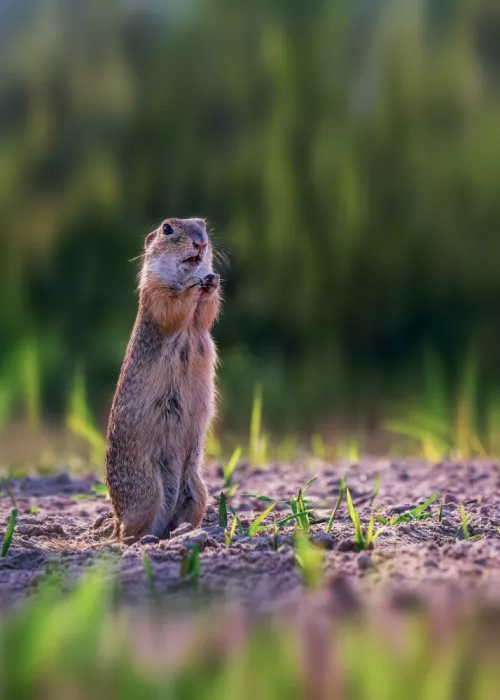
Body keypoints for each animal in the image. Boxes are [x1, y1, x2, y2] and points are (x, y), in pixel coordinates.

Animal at [105, 218, 221, 542]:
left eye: (203, 224)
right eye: (167, 228)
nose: (201, 241)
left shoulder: (200, 316)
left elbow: (206, 314)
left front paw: (212, 280)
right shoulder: (154, 291)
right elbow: (172, 307)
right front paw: (194, 287)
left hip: (197, 490)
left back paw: (183, 532)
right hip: (147, 492)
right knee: (129, 533)